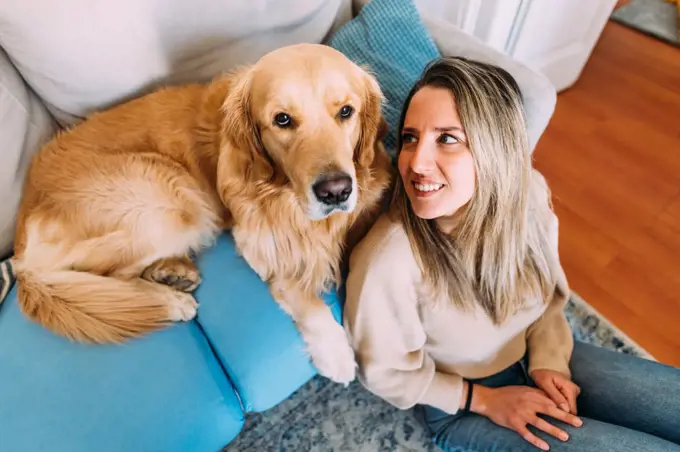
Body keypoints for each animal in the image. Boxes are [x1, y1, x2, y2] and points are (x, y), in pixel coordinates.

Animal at [10, 42, 394, 384]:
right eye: (282, 120)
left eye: (346, 111)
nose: (336, 191)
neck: (283, 192)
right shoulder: (258, 243)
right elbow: (303, 295)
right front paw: (336, 353)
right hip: (174, 196)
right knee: (94, 274)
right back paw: (170, 299)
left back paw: (172, 272)